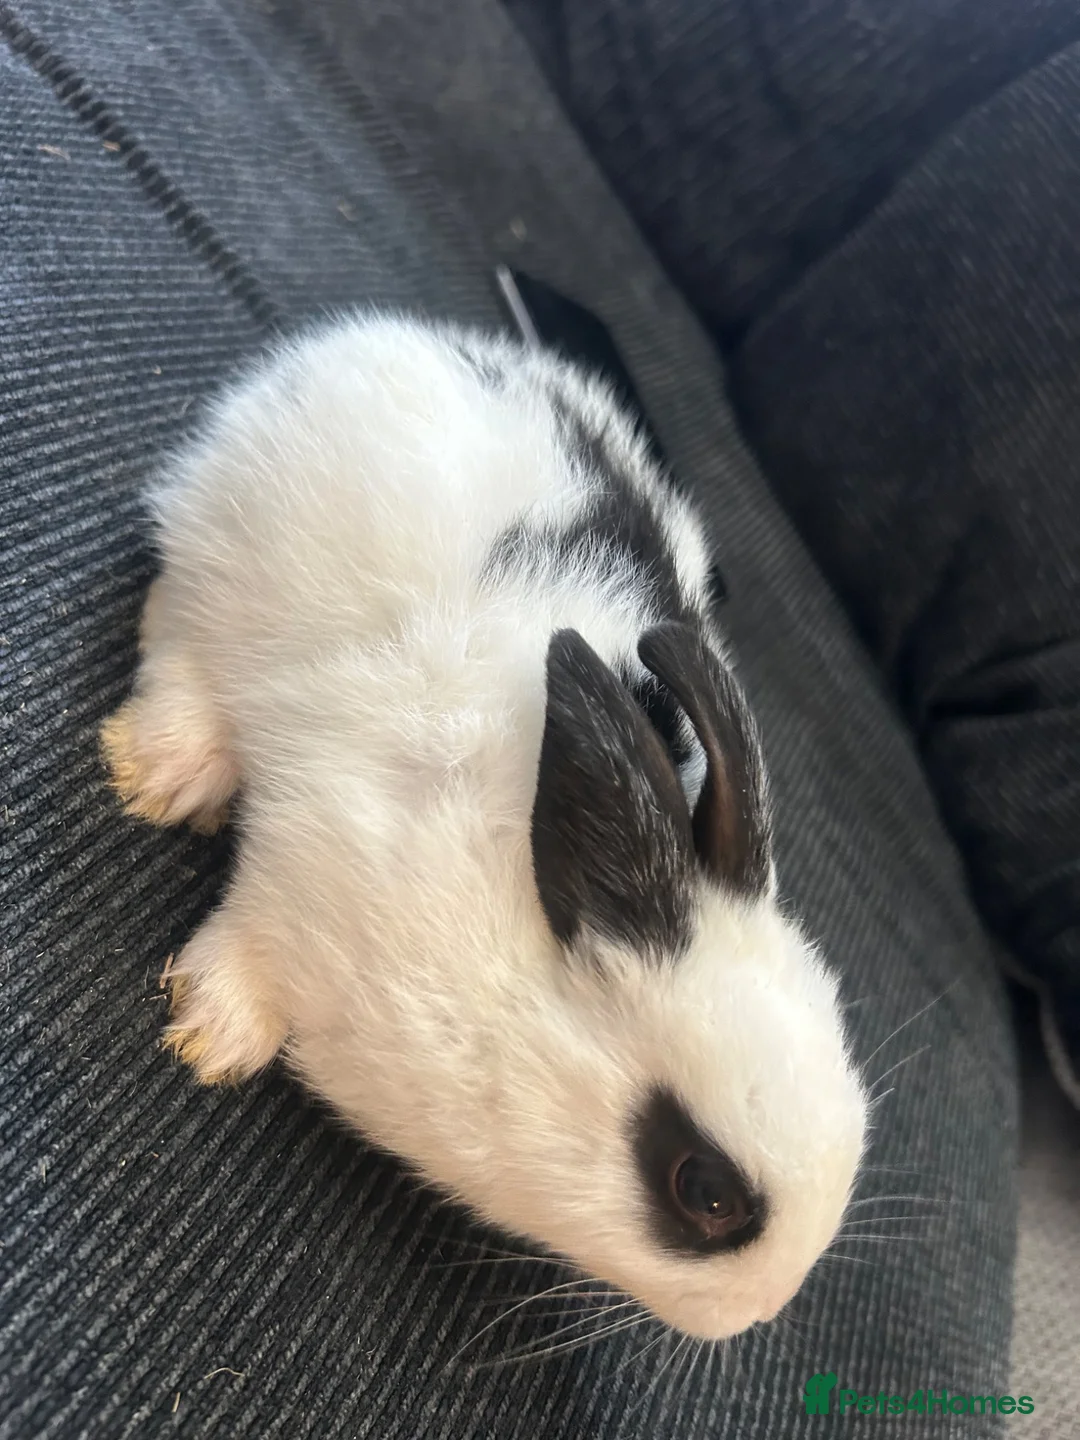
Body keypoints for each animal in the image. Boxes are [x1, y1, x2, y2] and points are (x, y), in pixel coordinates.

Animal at [101, 312, 868, 1341]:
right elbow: (256, 936)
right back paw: (162, 774)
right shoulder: (320, 850)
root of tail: (389, 339)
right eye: (705, 1192)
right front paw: (214, 1035)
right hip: (229, 564)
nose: (755, 1314)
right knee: (178, 631)